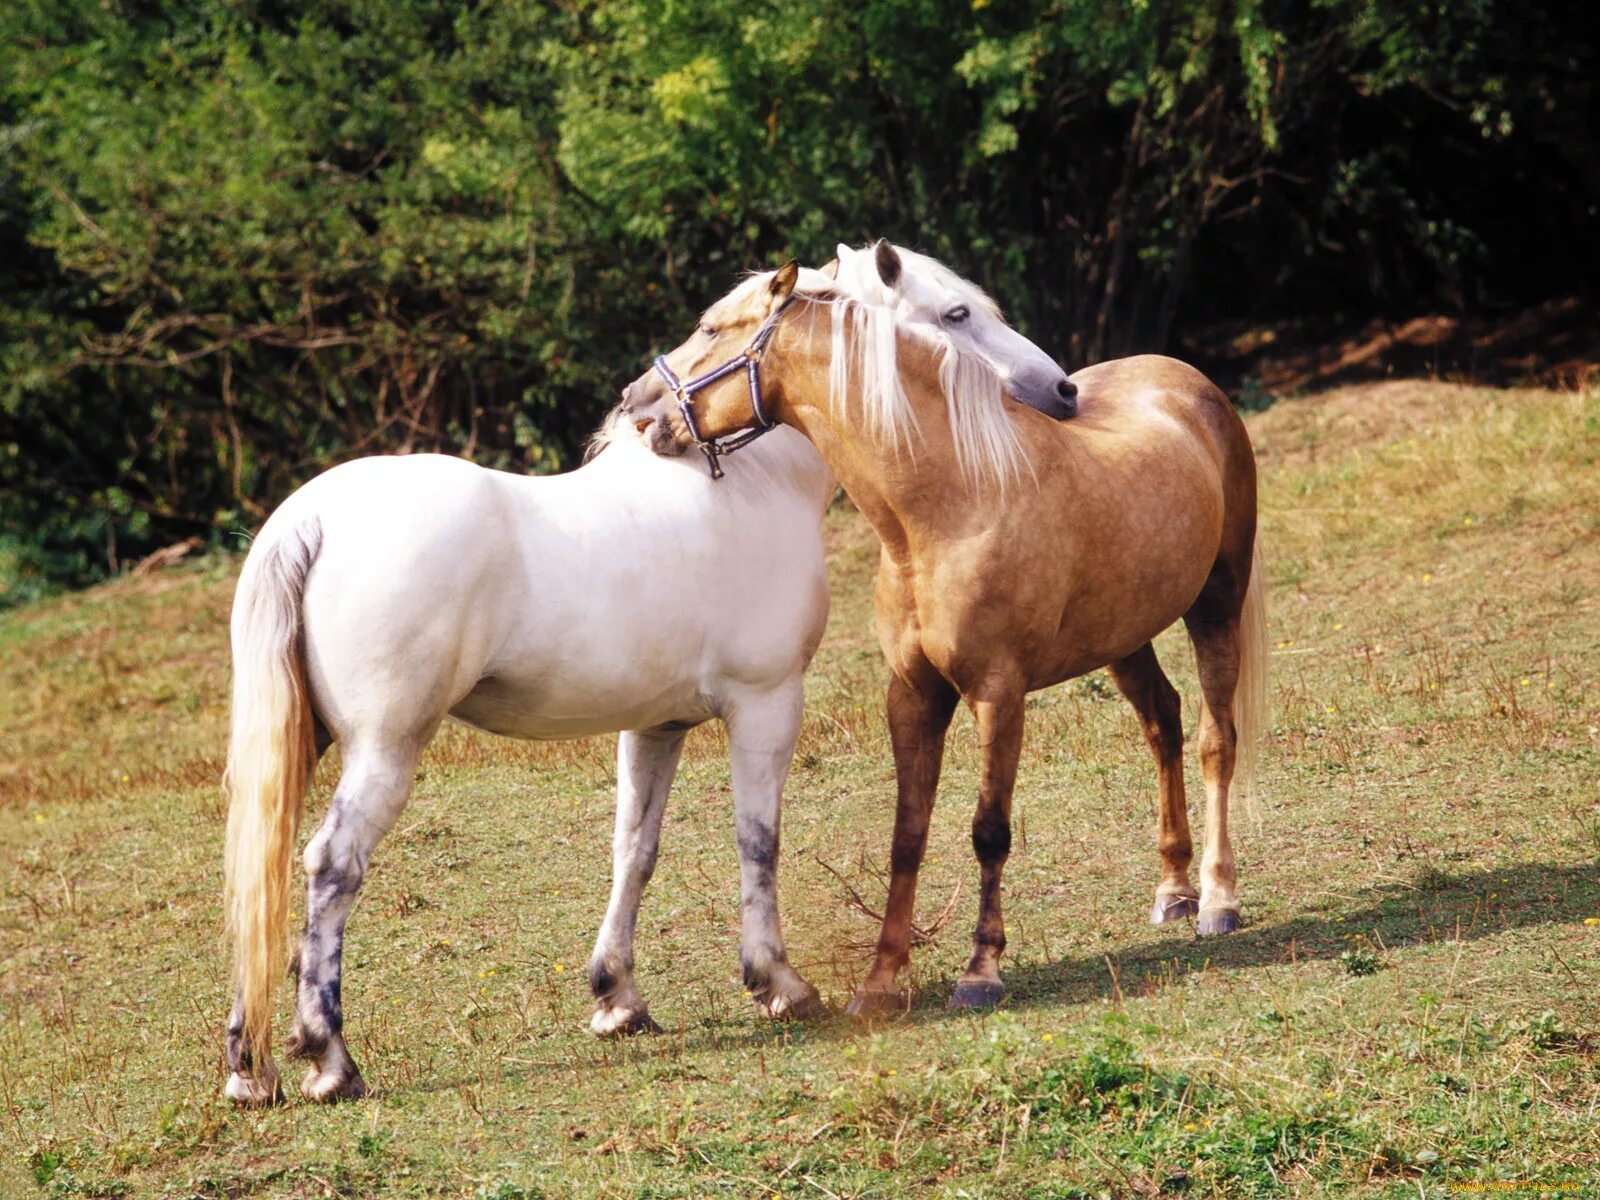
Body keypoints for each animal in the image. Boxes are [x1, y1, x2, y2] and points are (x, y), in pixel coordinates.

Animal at [219, 241, 1068, 1107]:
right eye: (956, 313)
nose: (1061, 389)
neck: (751, 487)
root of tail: (313, 517)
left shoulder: (656, 724)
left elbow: (634, 849)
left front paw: (617, 997)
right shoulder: (765, 705)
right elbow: (757, 840)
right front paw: (778, 984)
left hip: (307, 744)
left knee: (264, 872)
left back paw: (253, 1065)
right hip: (384, 749)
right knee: (330, 866)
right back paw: (330, 1058)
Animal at [617, 249, 1267, 1017]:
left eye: (713, 327)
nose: (637, 407)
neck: (951, 502)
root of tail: (1185, 380)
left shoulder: (997, 694)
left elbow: (990, 830)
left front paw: (981, 970)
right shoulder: (913, 695)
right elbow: (908, 834)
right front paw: (880, 980)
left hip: (1216, 607)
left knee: (1214, 742)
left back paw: (1217, 900)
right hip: (1123, 636)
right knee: (1163, 723)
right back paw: (1174, 890)